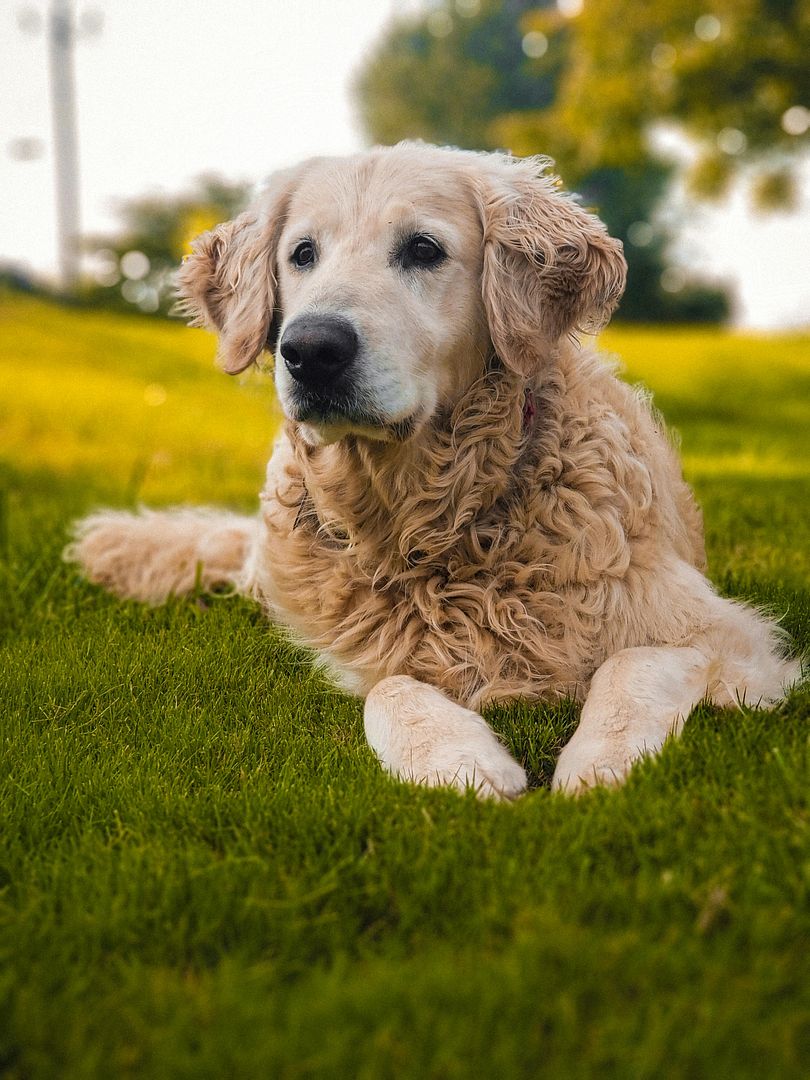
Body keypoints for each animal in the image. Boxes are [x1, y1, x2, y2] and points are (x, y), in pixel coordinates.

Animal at [66, 143, 803, 799]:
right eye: (302, 254)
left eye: (423, 249)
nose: (309, 350)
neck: (438, 522)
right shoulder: (363, 652)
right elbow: (390, 689)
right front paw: (460, 760)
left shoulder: (735, 641)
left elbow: (634, 662)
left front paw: (599, 762)